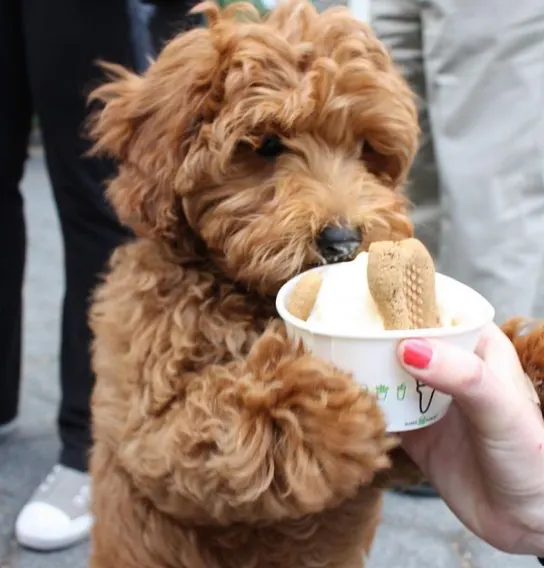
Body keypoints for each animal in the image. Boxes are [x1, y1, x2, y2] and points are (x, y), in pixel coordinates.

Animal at [87, 1, 544, 568]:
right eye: (265, 145)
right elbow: (203, 426)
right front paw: (315, 398)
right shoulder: (145, 424)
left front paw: (530, 364)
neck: (251, 295)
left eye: (367, 148)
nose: (343, 240)